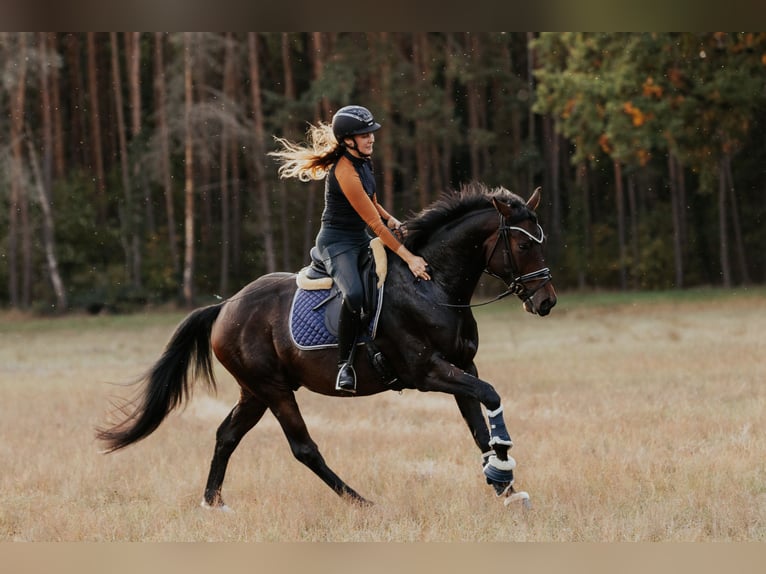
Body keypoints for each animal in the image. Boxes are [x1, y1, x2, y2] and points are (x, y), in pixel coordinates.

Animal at [96, 183, 557, 510]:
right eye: (523, 245)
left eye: (541, 240)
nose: (546, 301)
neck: (433, 285)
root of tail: (226, 305)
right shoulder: (428, 372)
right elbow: (490, 397)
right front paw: (502, 468)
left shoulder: (463, 366)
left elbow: (479, 425)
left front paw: (504, 486)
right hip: (274, 390)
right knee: (303, 448)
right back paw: (361, 502)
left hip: (255, 391)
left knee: (227, 435)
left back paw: (213, 503)